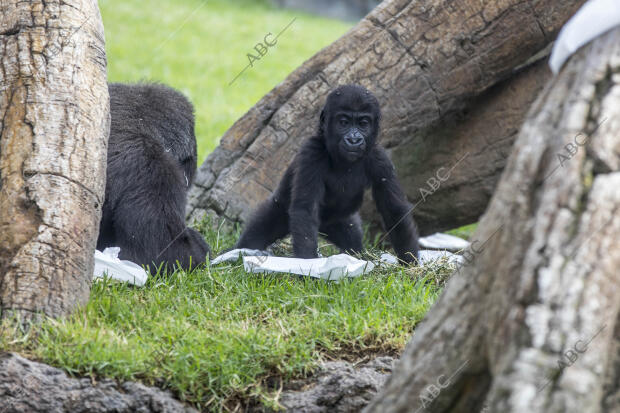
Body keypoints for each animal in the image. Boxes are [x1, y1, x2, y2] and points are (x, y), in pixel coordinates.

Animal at [237, 84, 422, 264]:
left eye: (363, 123)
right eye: (344, 122)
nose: (354, 139)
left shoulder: (380, 159)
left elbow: (394, 210)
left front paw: (409, 262)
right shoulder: (311, 153)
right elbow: (305, 209)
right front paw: (308, 265)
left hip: (339, 222)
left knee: (351, 237)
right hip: (279, 208)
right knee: (258, 232)